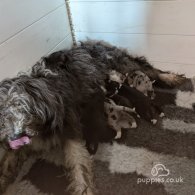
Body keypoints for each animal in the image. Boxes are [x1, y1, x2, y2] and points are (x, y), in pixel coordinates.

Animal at [0, 40, 185, 194]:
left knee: (150, 69)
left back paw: (171, 78)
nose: (15, 137)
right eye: (3, 114)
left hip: (124, 63)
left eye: (20, 106)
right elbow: (6, 162)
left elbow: (78, 167)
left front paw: (84, 189)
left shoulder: (71, 133)